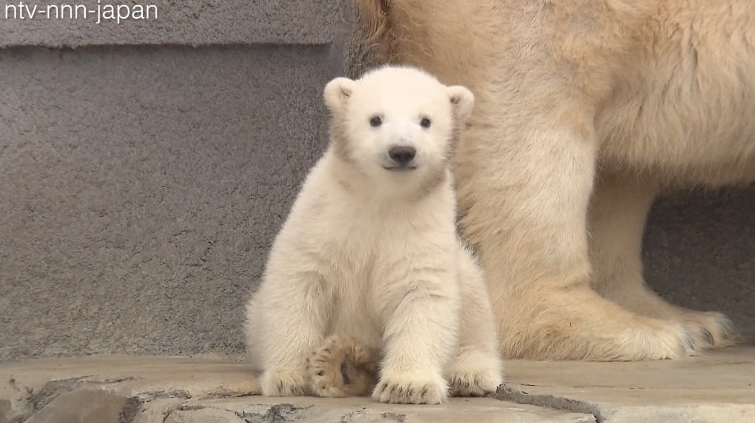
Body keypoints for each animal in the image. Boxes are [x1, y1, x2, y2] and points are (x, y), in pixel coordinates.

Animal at [244, 65, 503, 404]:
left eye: (425, 120)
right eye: (375, 119)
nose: (402, 151)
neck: (381, 198)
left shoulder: (422, 225)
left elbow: (421, 293)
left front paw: (408, 386)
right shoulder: (322, 216)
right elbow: (299, 283)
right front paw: (288, 377)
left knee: (474, 304)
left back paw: (469, 373)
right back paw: (340, 366)